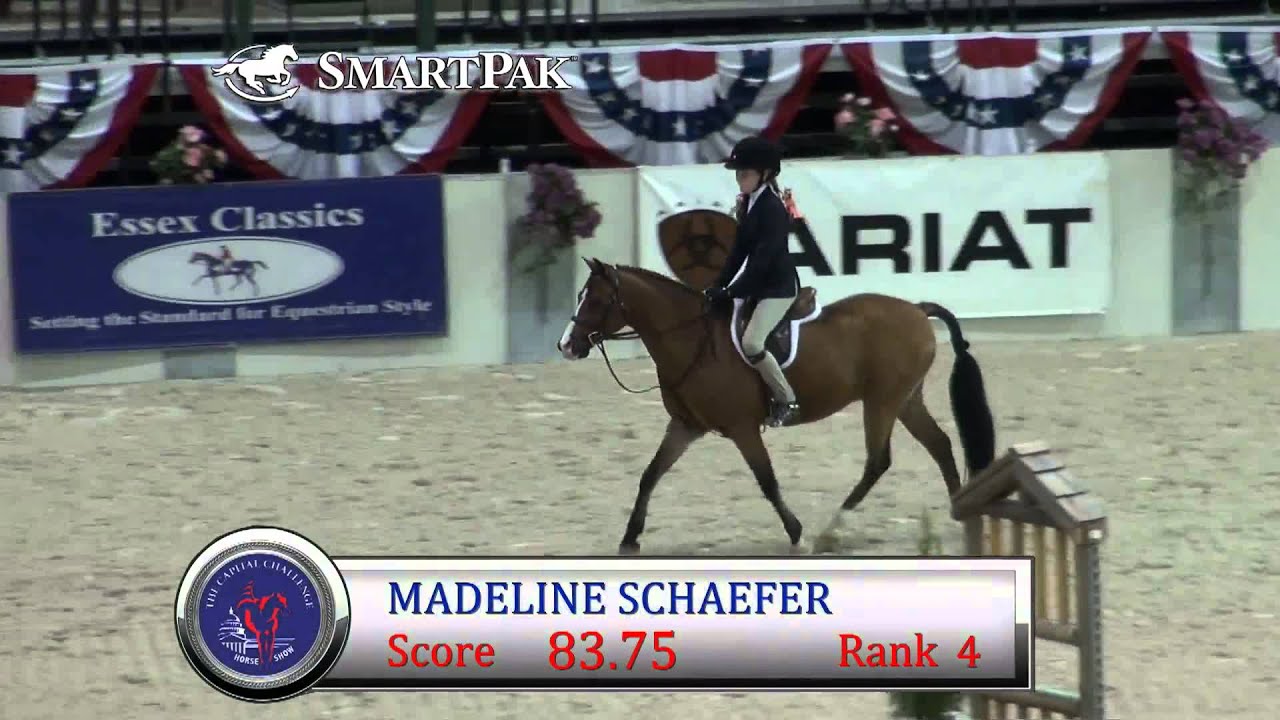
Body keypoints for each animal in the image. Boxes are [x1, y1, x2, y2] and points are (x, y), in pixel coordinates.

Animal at [557, 257, 997, 555]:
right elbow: (649, 475)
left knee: (878, 462)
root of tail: (917, 309)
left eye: (595, 300)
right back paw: (961, 518)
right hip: (905, 401)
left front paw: (797, 533)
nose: (566, 346)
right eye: (579, 296)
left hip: (881, 402)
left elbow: (767, 481)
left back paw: (830, 531)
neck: (692, 339)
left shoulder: (742, 429)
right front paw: (630, 538)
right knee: (939, 445)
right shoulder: (685, 426)